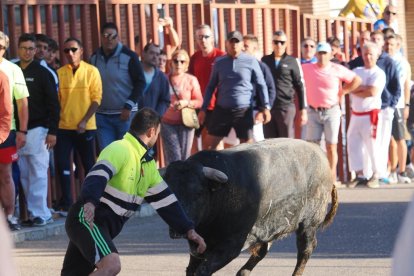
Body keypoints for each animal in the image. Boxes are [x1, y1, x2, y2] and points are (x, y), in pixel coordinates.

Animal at [163, 139, 338, 274]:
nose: (178, 230)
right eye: (169, 192)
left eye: (199, 193)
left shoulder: (230, 246)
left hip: (309, 223)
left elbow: (203, 270)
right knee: (262, 251)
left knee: (305, 250)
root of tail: (318, 151)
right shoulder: (197, 248)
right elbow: (191, 270)